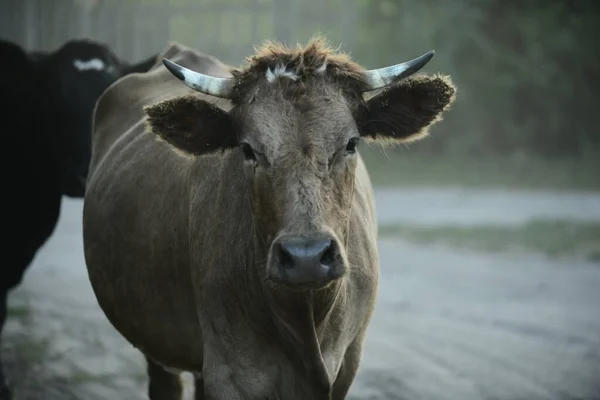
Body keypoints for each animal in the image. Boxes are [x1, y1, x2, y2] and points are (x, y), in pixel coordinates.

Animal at [81, 37, 454, 400]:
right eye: (248, 149)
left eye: (351, 143)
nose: (307, 257)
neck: (305, 321)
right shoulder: (231, 372)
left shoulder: (347, 362)